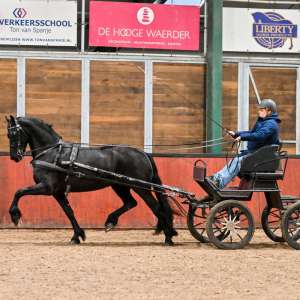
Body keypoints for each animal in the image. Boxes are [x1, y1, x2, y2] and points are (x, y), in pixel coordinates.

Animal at [5, 116, 177, 245]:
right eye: (8, 134)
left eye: (13, 133)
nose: (14, 157)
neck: (53, 153)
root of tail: (143, 153)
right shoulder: (57, 192)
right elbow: (69, 211)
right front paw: (77, 236)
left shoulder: (47, 187)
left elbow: (19, 191)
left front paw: (15, 215)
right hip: (120, 186)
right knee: (131, 203)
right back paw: (111, 221)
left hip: (140, 187)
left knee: (156, 208)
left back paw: (168, 237)